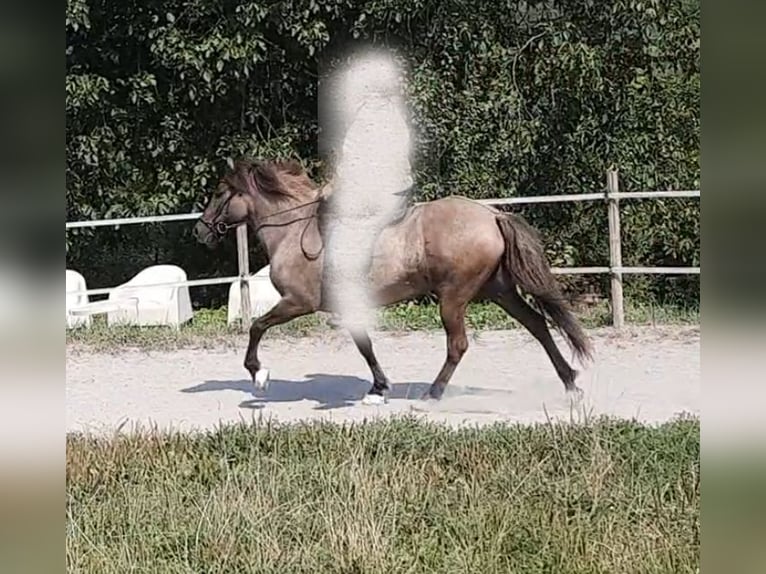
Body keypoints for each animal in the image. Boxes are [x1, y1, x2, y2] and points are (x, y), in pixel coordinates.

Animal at [193, 158, 593, 404]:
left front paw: (258, 373)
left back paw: (432, 394)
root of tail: (491, 214)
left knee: (458, 345)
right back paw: (570, 382)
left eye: (218, 192)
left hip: (454, 297)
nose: (200, 232)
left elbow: (257, 327)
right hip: (498, 290)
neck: (294, 230)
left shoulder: (297, 302)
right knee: (538, 325)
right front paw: (378, 387)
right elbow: (364, 345)